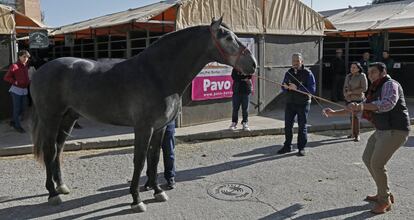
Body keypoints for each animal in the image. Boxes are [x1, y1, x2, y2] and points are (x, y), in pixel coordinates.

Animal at [29, 17, 256, 211]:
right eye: (228, 38)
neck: (157, 74)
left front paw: (157, 191)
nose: (252, 64)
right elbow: (139, 160)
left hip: (68, 117)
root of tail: (41, 70)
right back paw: (52, 194)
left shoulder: (160, 128)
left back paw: (61, 186)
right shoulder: (143, 128)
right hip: (51, 118)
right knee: (50, 150)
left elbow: (154, 158)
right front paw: (136, 199)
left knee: (58, 149)